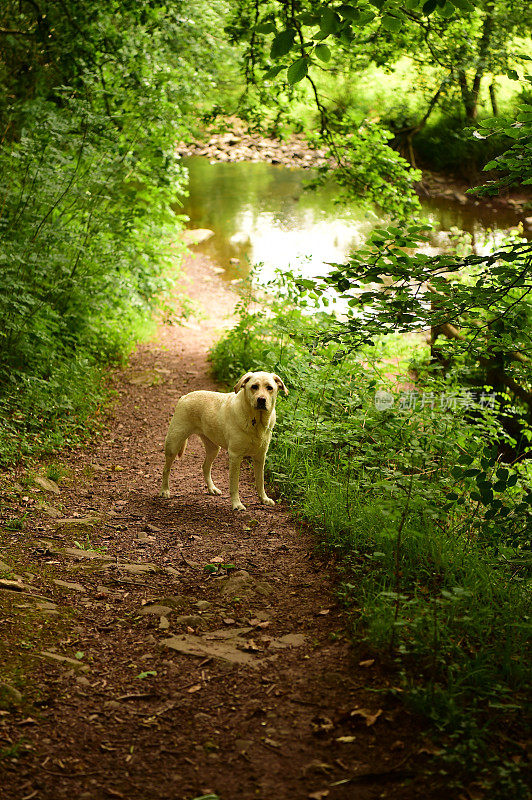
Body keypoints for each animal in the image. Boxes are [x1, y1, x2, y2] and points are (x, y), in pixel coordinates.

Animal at [160, 370, 288, 510]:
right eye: (254, 387)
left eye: (269, 388)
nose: (261, 400)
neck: (256, 421)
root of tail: (185, 396)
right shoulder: (235, 456)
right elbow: (234, 484)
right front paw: (237, 504)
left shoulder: (260, 456)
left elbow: (260, 481)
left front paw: (264, 499)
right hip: (173, 443)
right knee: (166, 469)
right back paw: (164, 491)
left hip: (213, 448)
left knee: (205, 467)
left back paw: (212, 488)